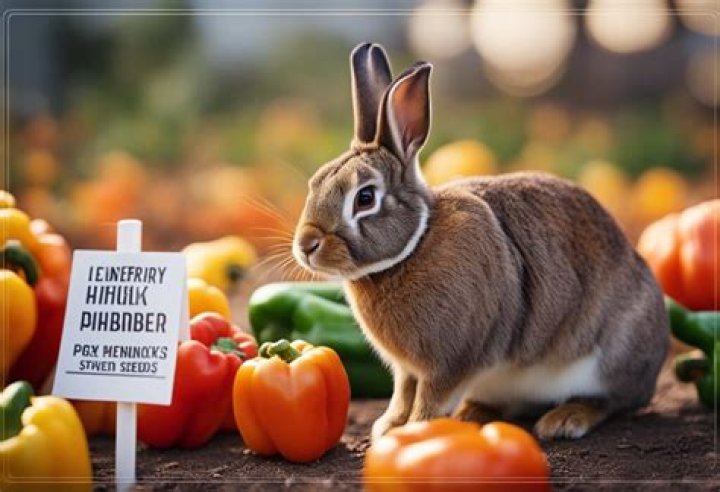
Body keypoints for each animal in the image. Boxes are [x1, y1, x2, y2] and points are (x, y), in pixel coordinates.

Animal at [292, 42, 669, 441]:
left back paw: (564, 420)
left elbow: (429, 398)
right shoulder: (407, 370)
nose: (306, 246)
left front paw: (415, 430)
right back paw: (473, 414)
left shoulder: (452, 360)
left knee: (610, 401)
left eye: (365, 198)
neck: (414, 245)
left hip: (612, 355)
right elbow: (402, 393)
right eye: (315, 182)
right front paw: (389, 426)